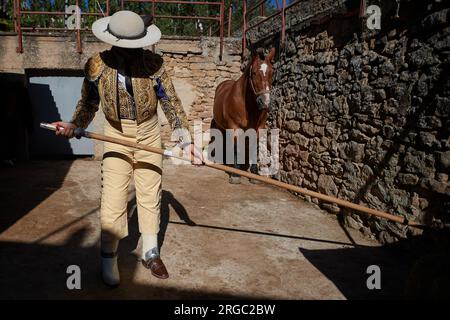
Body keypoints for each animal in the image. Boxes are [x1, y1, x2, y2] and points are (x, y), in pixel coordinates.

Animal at [213, 46, 276, 184]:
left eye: (272, 73)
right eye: (254, 73)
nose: (265, 102)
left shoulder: (259, 128)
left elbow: (255, 147)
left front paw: (254, 173)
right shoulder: (234, 127)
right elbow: (236, 147)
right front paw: (235, 174)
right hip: (221, 126)